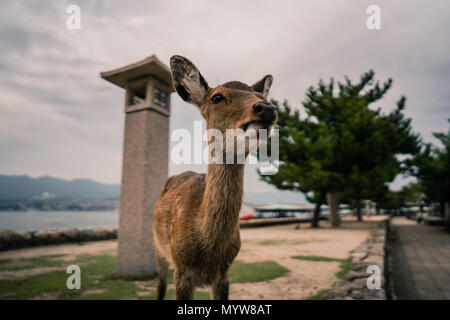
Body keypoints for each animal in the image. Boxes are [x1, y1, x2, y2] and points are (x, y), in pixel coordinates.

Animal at [153, 55, 276, 300]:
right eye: (216, 97)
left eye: (262, 97)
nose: (267, 109)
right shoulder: (181, 271)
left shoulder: (224, 273)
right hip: (157, 247)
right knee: (160, 286)